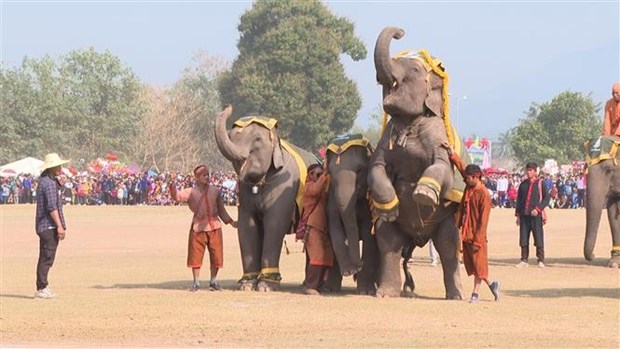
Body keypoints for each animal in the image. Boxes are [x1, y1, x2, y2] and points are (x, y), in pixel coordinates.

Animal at [214, 104, 320, 290]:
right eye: (230, 136)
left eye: (257, 139)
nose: (229, 106)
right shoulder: (245, 192)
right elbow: (247, 225)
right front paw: (247, 285)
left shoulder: (284, 186)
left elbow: (274, 224)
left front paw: (266, 287)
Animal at [322, 133, 380, 294]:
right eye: (331, 173)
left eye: (359, 170)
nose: (357, 266)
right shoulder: (332, 197)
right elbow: (334, 227)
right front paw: (332, 287)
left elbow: (368, 234)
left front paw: (365, 291)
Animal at [368, 26, 464, 300]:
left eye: (413, 70)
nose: (400, 32)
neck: (410, 123)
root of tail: (419, 239)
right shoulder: (386, 138)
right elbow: (375, 168)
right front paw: (389, 206)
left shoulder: (439, 135)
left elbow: (443, 167)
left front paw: (424, 195)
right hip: (398, 232)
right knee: (388, 240)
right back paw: (385, 293)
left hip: (446, 221)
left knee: (448, 244)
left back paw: (456, 296)